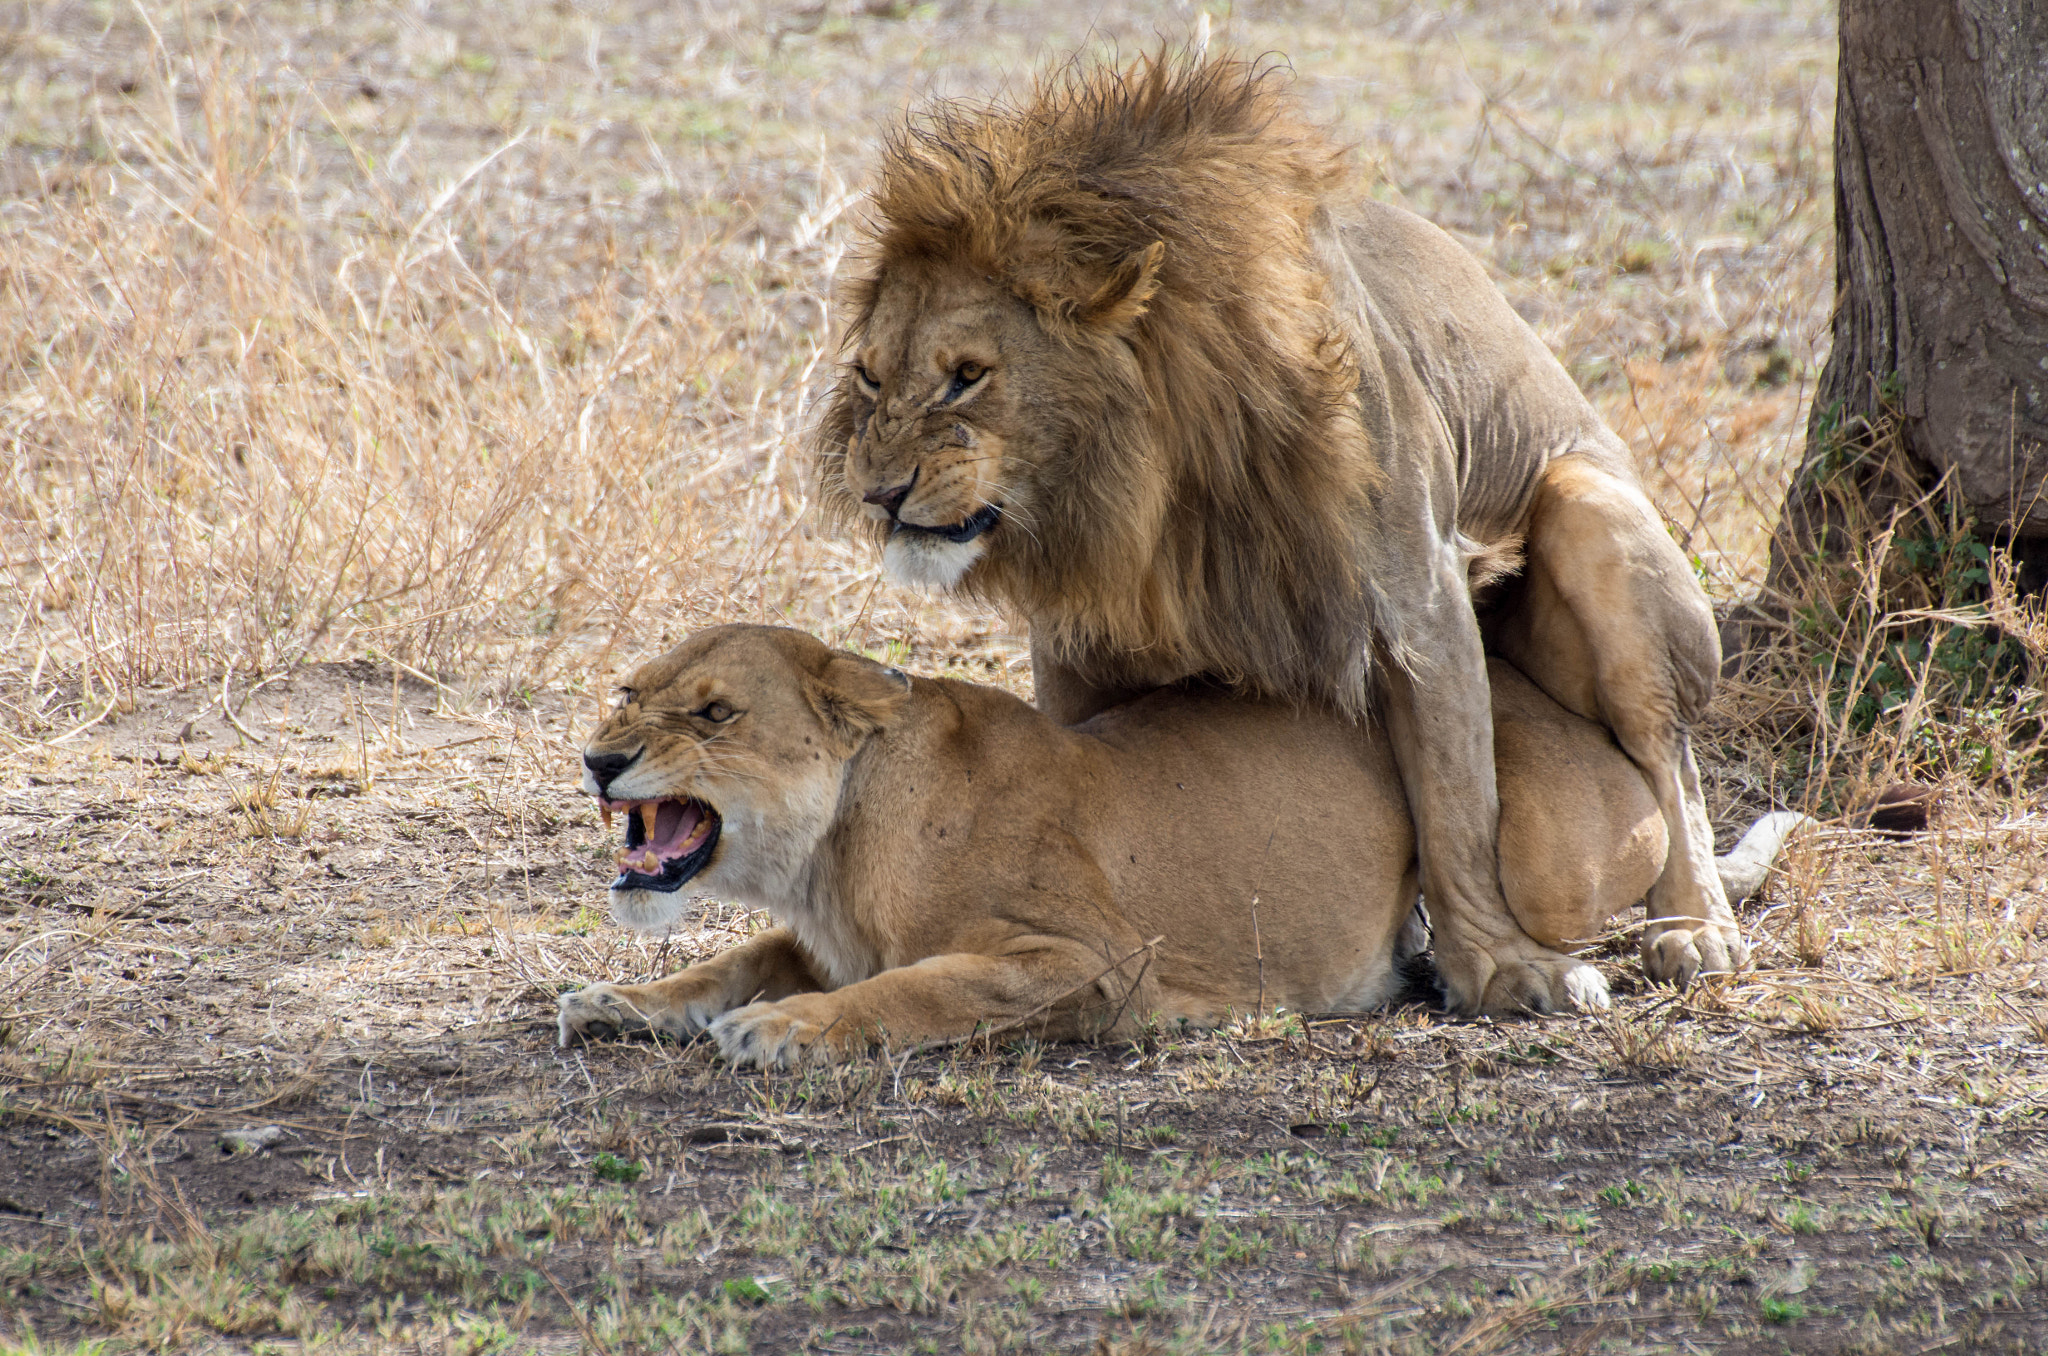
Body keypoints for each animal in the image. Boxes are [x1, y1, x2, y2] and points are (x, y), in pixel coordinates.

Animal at [565, 630, 1810, 1073]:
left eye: (714, 714)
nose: (597, 758)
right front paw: (623, 1001)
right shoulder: (816, 936)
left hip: (1541, 845)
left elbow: (910, 990)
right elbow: (733, 959)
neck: (828, 854)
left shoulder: (1092, 960)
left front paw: (782, 1031)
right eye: (626, 691)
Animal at [806, 53, 1736, 1015]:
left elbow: (1458, 803)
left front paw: (1501, 967)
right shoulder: (1077, 633)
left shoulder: (1417, 596)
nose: (878, 495)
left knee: (1669, 758)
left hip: (1587, 505)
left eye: (968, 376)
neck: (1152, 490)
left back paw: (1695, 929)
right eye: (869, 378)